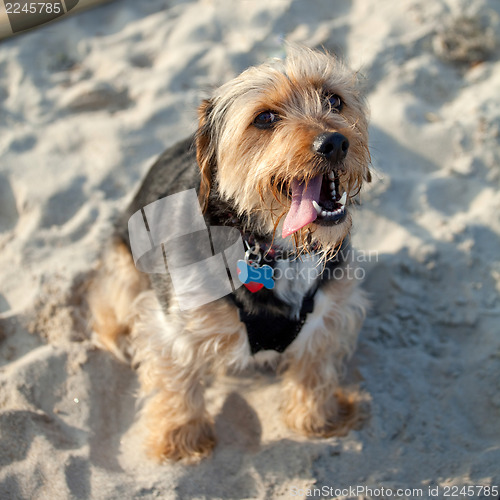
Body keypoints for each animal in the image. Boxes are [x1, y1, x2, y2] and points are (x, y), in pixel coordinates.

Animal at [89, 45, 372, 462]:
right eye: (265, 118)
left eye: (334, 100)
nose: (335, 142)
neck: (273, 248)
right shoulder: (173, 327)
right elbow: (176, 382)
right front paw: (181, 438)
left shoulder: (330, 314)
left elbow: (314, 368)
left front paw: (317, 418)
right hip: (124, 265)